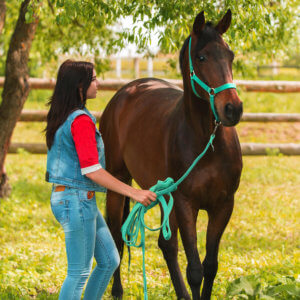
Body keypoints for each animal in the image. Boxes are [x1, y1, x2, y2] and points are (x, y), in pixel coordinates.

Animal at [99, 9, 243, 300]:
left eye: (230, 55)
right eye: (201, 57)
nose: (233, 109)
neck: (207, 143)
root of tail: (125, 92)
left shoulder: (223, 205)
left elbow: (210, 266)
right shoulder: (186, 203)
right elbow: (195, 270)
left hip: (166, 197)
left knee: (166, 246)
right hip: (118, 182)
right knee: (117, 236)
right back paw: (117, 290)